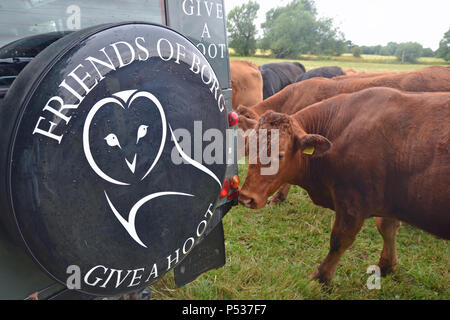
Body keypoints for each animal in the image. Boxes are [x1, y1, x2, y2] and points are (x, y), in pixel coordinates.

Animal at [237, 87, 448, 282]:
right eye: (249, 146)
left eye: (279, 155)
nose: (246, 198)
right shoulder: (390, 202)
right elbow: (387, 227)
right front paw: (386, 266)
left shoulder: (352, 203)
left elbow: (339, 240)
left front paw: (322, 278)